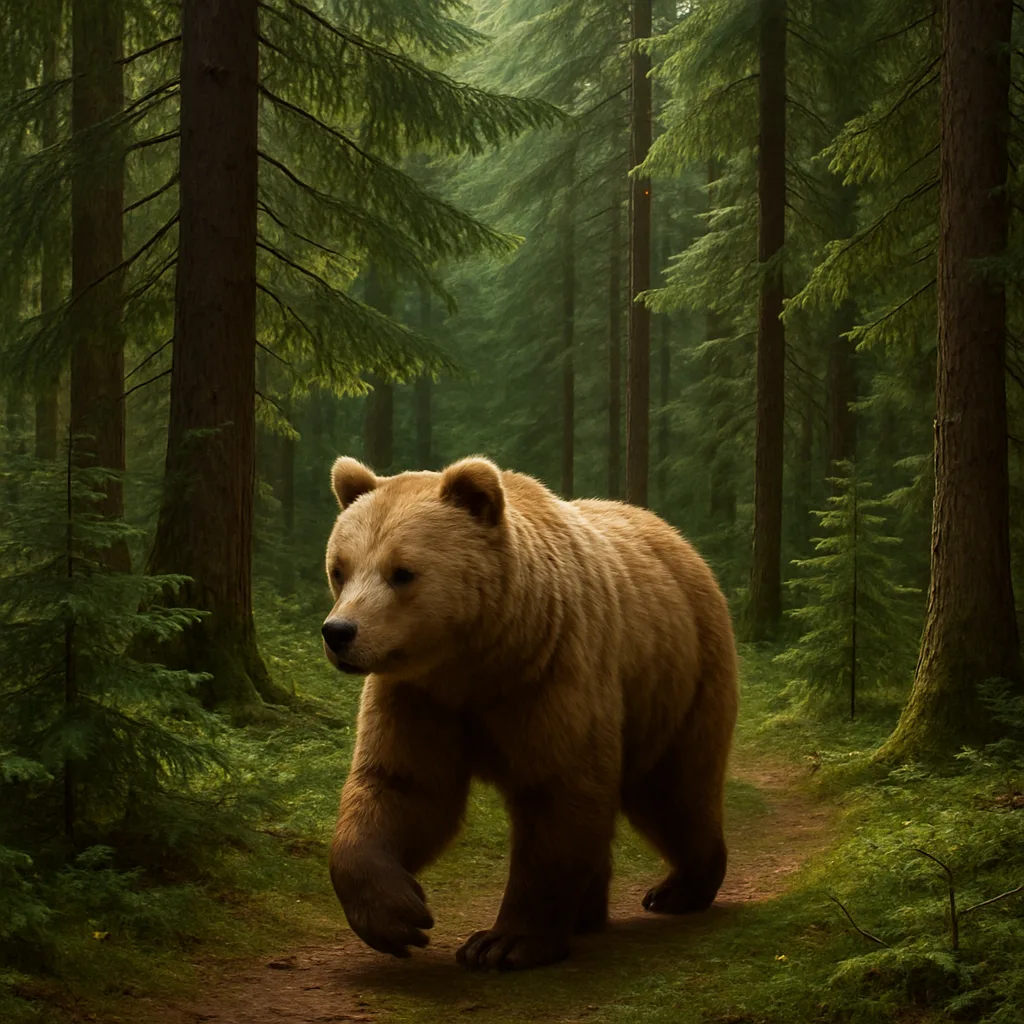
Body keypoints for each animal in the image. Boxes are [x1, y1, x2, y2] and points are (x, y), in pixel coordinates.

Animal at [322, 455, 738, 971]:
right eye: (340, 569)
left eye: (402, 572)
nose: (339, 631)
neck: (478, 661)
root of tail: (680, 541)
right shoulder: (418, 697)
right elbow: (402, 786)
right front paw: (396, 914)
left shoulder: (551, 674)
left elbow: (558, 792)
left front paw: (502, 942)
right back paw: (587, 912)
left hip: (680, 678)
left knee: (675, 789)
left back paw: (679, 888)